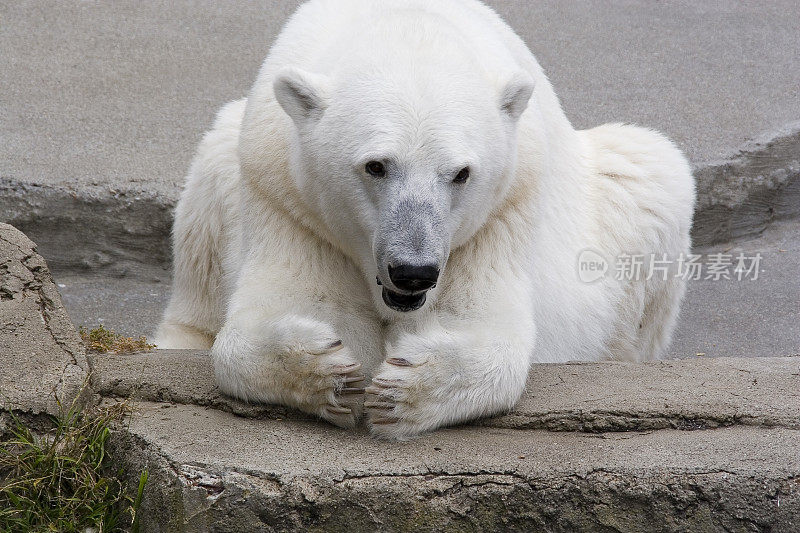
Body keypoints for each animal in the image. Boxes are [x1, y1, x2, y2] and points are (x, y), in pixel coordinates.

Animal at [155, 0, 692, 438]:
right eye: (376, 165)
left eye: (460, 173)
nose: (413, 272)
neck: (406, 25)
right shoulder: (288, 199)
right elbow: (274, 316)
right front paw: (327, 367)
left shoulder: (500, 213)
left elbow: (484, 328)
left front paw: (402, 388)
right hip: (222, 167)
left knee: (652, 171)